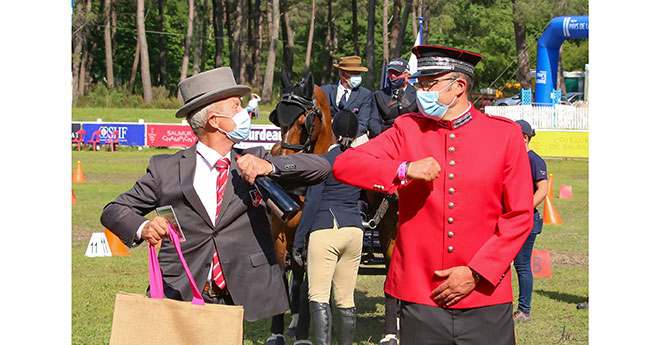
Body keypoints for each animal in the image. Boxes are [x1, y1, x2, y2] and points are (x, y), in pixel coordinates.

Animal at [266, 68, 400, 342]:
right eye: (278, 120)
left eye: (303, 122)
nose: (283, 174)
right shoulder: (280, 233)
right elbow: (285, 276)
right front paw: (277, 333)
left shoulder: (313, 235)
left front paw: (304, 335)